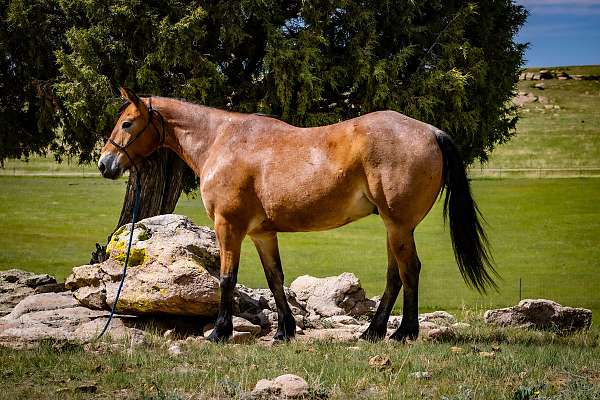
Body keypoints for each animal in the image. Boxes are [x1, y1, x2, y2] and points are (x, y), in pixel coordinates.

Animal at [99, 87, 496, 344]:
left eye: (128, 123)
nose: (105, 164)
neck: (221, 140)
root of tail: (431, 131)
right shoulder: (261, 233)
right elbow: (275, 278)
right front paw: (284, 332)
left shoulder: (229, 226)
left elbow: (227, 279)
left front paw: (219, 333)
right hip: (393, 226)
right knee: (395, 275)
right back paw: (372, 332)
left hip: (398, 225)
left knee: (409, 270)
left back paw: (403, 333)